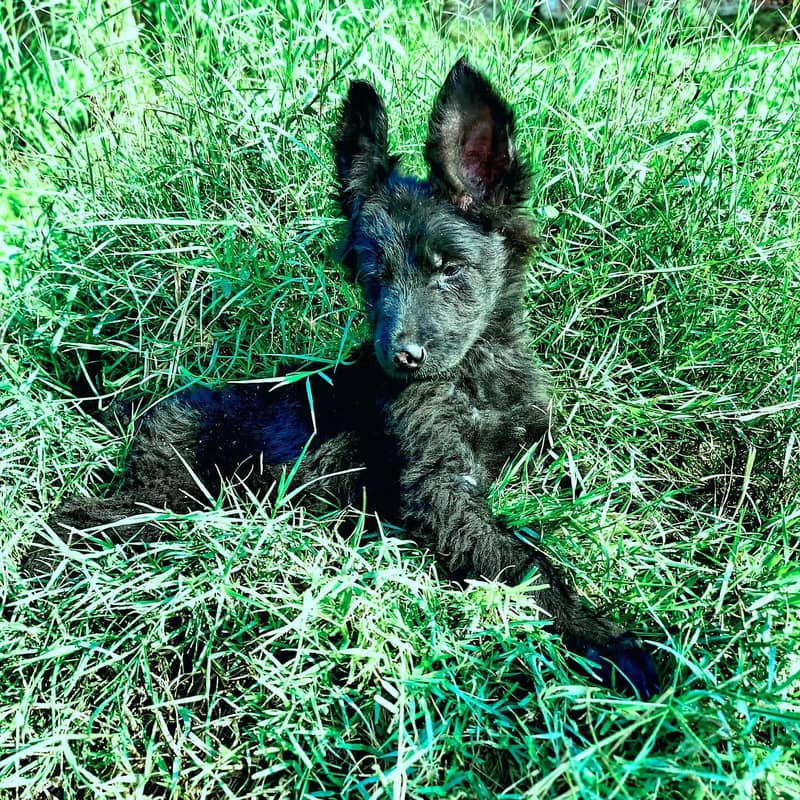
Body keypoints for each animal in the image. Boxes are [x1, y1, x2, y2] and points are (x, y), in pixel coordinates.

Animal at [37, 59, 660, 696]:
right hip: (172, 493)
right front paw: (609, 641)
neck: (473, 373)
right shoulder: (439, 492)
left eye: (448, 269)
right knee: (76, 519)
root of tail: (147, 406)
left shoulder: (529, 435)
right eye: (371, 275)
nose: (402, 357)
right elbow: (523, 561)